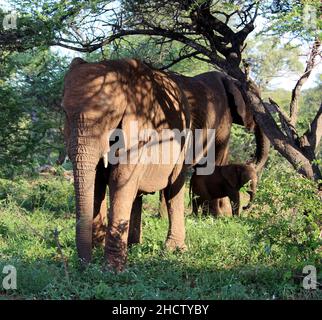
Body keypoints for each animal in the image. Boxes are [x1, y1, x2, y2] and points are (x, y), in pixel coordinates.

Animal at [63, 58, 194, 270]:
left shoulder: (139, 125)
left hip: (184, 135)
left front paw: (111, 269)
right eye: (65, 113)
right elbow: (97, 182)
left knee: (173, 188)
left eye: (109, 115)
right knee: (136, 194)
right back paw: (133, 247)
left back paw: (174, 250)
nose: (85, 265)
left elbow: (119, 179)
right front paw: (98, 251)